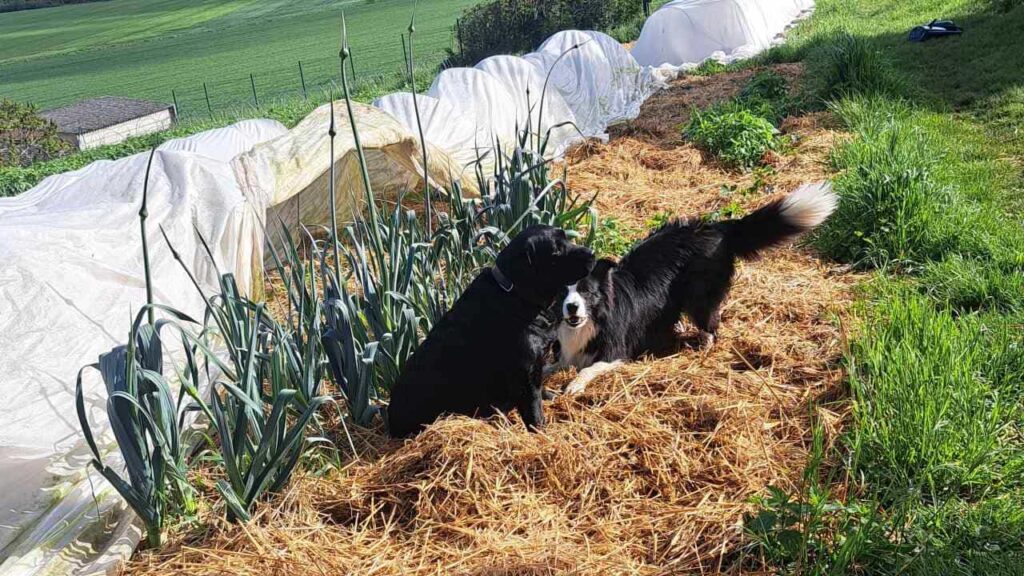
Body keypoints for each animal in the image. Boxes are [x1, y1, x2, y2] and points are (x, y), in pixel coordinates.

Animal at [387, 223, 598, 434]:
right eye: (556, 251)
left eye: (566, 238)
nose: (592, 253)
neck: (516, 294)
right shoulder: (525, 374)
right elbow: (534, 411)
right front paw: (542, 434)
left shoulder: (536, 368)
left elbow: (541, 391)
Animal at [557, 183, 835, 389]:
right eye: (562, 293)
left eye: (587, 292)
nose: (572, 308)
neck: (592, 319)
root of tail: (717, 227)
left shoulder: (616, 351)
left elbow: (590, 368)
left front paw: (574, 386)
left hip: (700, 297)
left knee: (711, 326)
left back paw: (703, 350)